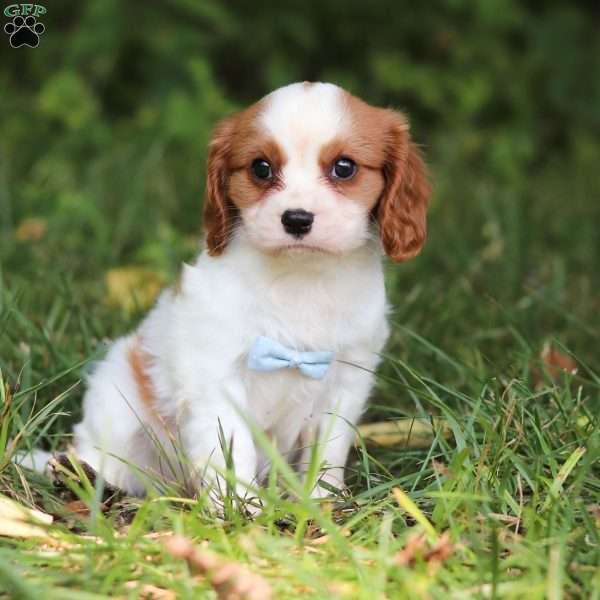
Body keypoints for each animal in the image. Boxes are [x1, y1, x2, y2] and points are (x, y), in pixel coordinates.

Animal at [69, 79, 432, 502]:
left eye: (344, 168)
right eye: (261, 168)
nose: (296, 219)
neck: (300, 277)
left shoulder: (347, 378)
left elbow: (328, 447)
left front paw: (321, 500)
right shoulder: (216, 380)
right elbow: (231, 447)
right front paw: (242, 508)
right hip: (119, 406)